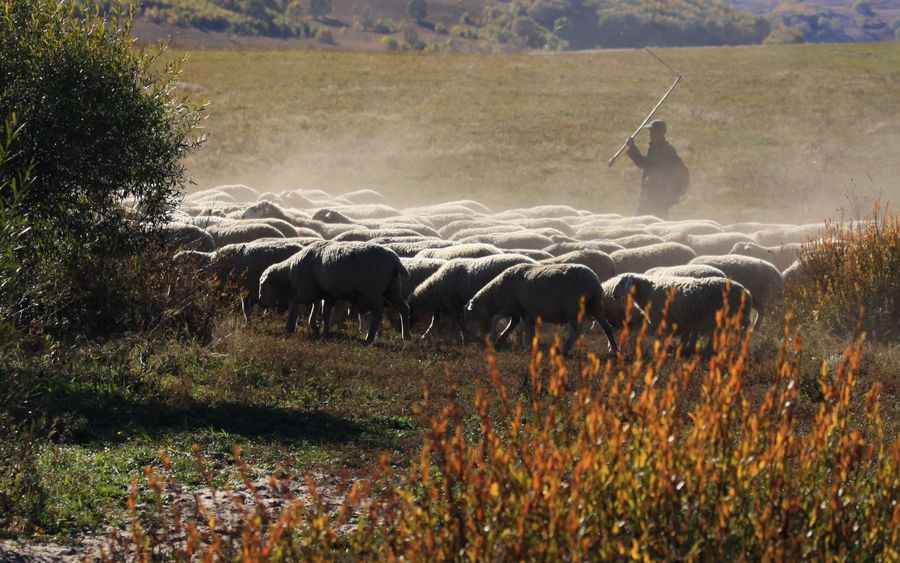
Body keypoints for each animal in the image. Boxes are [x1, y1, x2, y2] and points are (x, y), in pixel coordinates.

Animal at [259, 241, 410, 344]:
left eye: (263, 286)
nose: (261, 303)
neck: (289, 274)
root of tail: (395, 262)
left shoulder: (307, 291)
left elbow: (294, 304)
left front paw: (290, 327)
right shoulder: (327, 294)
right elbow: (324, 313)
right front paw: (323, 332)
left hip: (372, 292)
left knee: (378, 314)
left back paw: (369, 339)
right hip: (392, 289)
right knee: (404, 309)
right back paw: (406, 337)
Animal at [407, 254, 536, 340]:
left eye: (409, 312)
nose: (406, 331)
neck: (436, 290)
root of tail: (534, 263)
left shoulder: (453, 305)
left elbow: (456, 323)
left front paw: (463, 339)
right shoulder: (448, 307)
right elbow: (439, 323)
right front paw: (426, 337)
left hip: (510, 301)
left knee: (516, 320)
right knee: (515, 320)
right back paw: (502, 338)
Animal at [465, 263, 619, 355]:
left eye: (471, 315)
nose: (470, 336)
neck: (494, 294)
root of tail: (594, 283)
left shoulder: (510, 305)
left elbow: (495, 318)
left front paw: (493, 337)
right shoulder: (523, 311)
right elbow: (522, 326)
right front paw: (526, 344)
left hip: (572, 308)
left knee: (576, 331)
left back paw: (564, 350)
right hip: (595, 307)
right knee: (607, 328)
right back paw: (614, 349)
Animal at [607, 273, 753, 355]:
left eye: (622, 282)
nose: (613, 294)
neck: (648, 292)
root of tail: (746, 292)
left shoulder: (667, 321)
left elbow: (659, 336)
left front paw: (665, 351)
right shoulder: (681, 322)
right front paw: (676, 349)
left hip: (731, 315)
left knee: (741, 330)